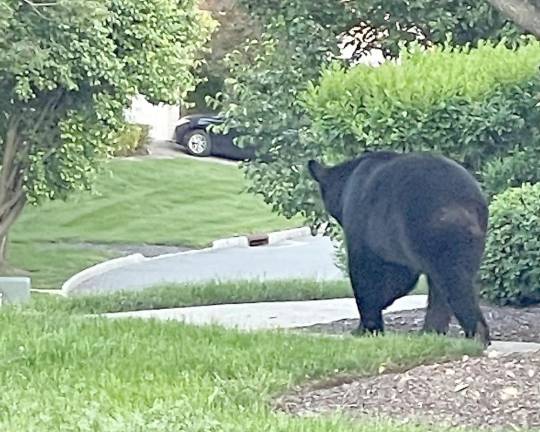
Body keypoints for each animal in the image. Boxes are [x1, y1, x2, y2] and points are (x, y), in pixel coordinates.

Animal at [308, 150, 490, 346]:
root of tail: (467, 202)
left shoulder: (365, 229)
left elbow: (366, 274)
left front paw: (367, 327)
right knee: (442, 287)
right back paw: (431, 332)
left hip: (434, 233)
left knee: (452, 280)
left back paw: (476, 334)